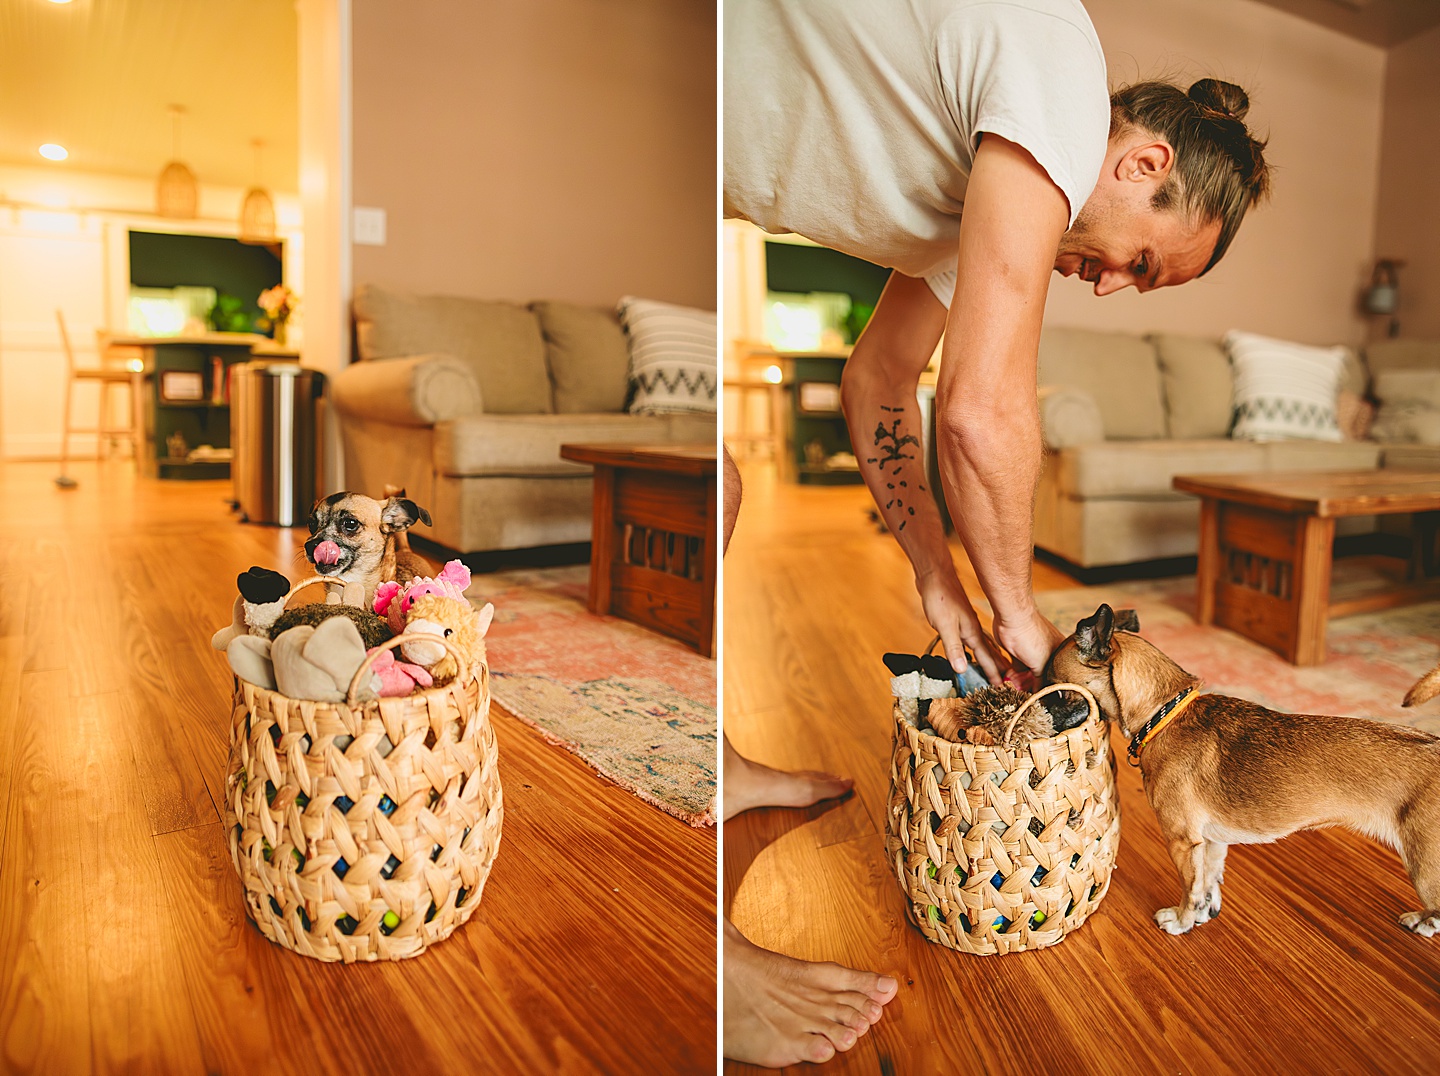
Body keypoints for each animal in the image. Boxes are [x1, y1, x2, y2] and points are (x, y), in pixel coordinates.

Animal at [1048, 602, 1440, 939]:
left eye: (1057, 687)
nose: (1041, 705)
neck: (1163, 714)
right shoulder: (1210, 841)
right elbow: (1207, 882)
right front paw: (1204, 912)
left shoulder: (1182, 842)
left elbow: (1190, 889)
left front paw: (1181, 920)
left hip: (1425, 870)